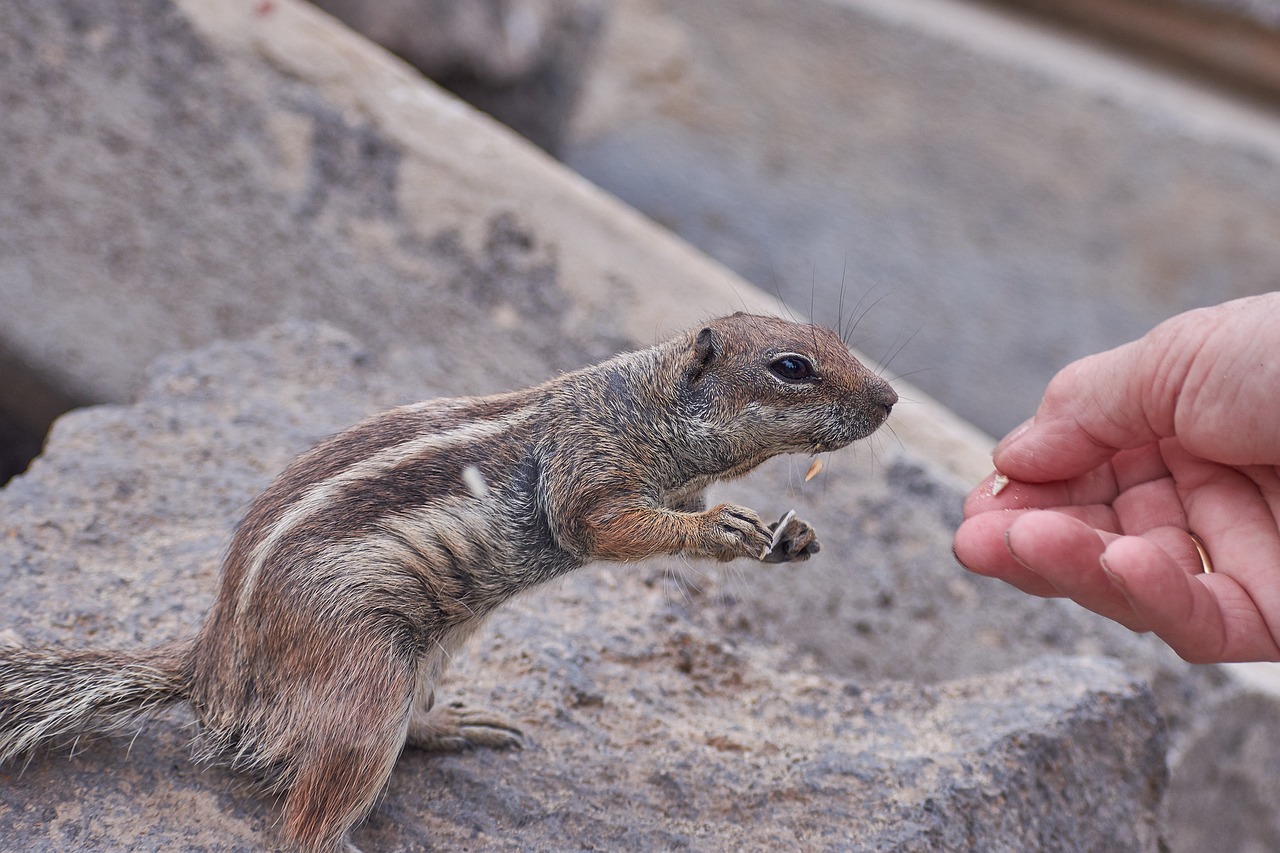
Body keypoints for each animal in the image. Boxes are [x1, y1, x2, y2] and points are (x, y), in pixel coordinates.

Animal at [0, 312, 896, 850]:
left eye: (830, 338)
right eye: (792, 366)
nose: (889, 397)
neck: (639, 403)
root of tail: (210, 669)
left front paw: (793, 536)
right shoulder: (587, 470)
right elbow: (607, 526)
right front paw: (729, 531)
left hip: (433, 649)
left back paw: (452, 725)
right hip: (367, 683)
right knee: (306, 821)